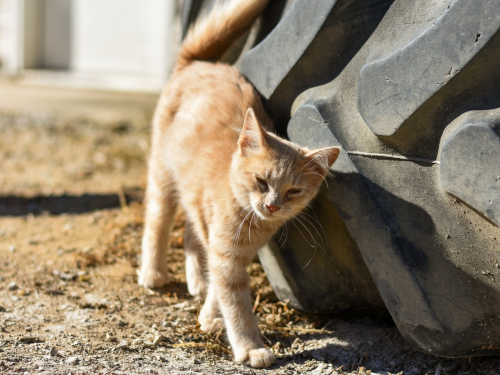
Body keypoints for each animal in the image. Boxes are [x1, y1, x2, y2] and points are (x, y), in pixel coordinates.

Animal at [138, 0, 340, 370]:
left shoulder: (231, 253)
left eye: (293, 191)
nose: (273, 205)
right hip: (162, 172)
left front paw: (209, 314)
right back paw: (153, 272)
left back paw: (197, 281)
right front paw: (249, 347)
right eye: (262, 181)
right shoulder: (227, 256)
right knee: (158, 221)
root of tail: (199, 62)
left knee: (191, 233)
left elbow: (219, 284)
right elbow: (236, 303)